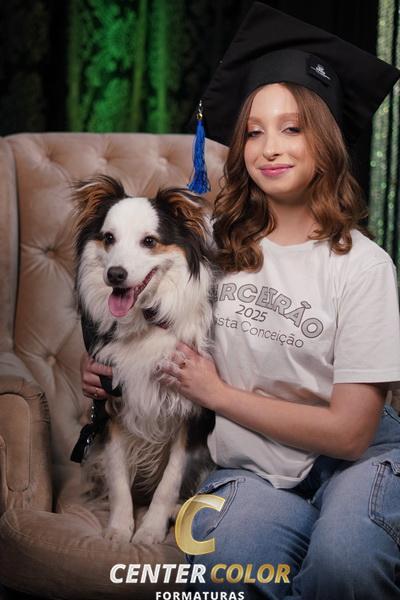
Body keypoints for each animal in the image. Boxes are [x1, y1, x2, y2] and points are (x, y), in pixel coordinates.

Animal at [72, 175, 214, 544]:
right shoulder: (109, 402)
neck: (146, 323)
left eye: (149, 241)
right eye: (109, 238)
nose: (115, 274)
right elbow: (118, 475)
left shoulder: (189, 413)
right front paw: (120, 528)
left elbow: (170, 480)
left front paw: (150, 529)